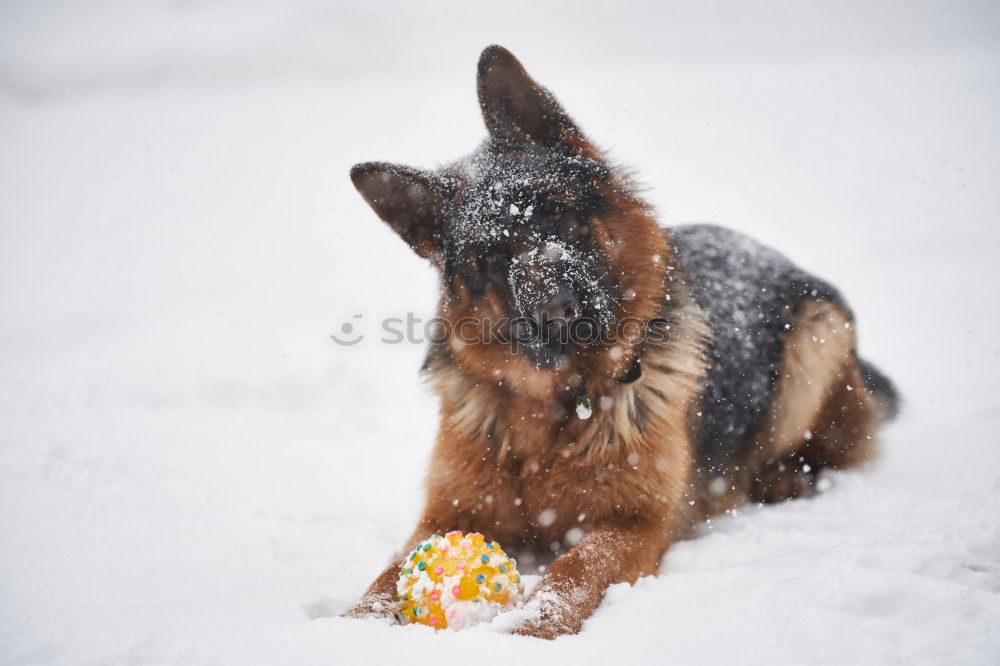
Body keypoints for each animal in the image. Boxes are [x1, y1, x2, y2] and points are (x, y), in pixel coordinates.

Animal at [346, 44, 900, 636]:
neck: (557, 407)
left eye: (558, 215)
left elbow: (574, 568)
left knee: (835, 448)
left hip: (815, 339)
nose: (557, 312)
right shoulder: (448, 514)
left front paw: (529, 628)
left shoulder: (635, 524)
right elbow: (388, 574)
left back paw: (785, 479)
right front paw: (351, 626)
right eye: (492, 259)